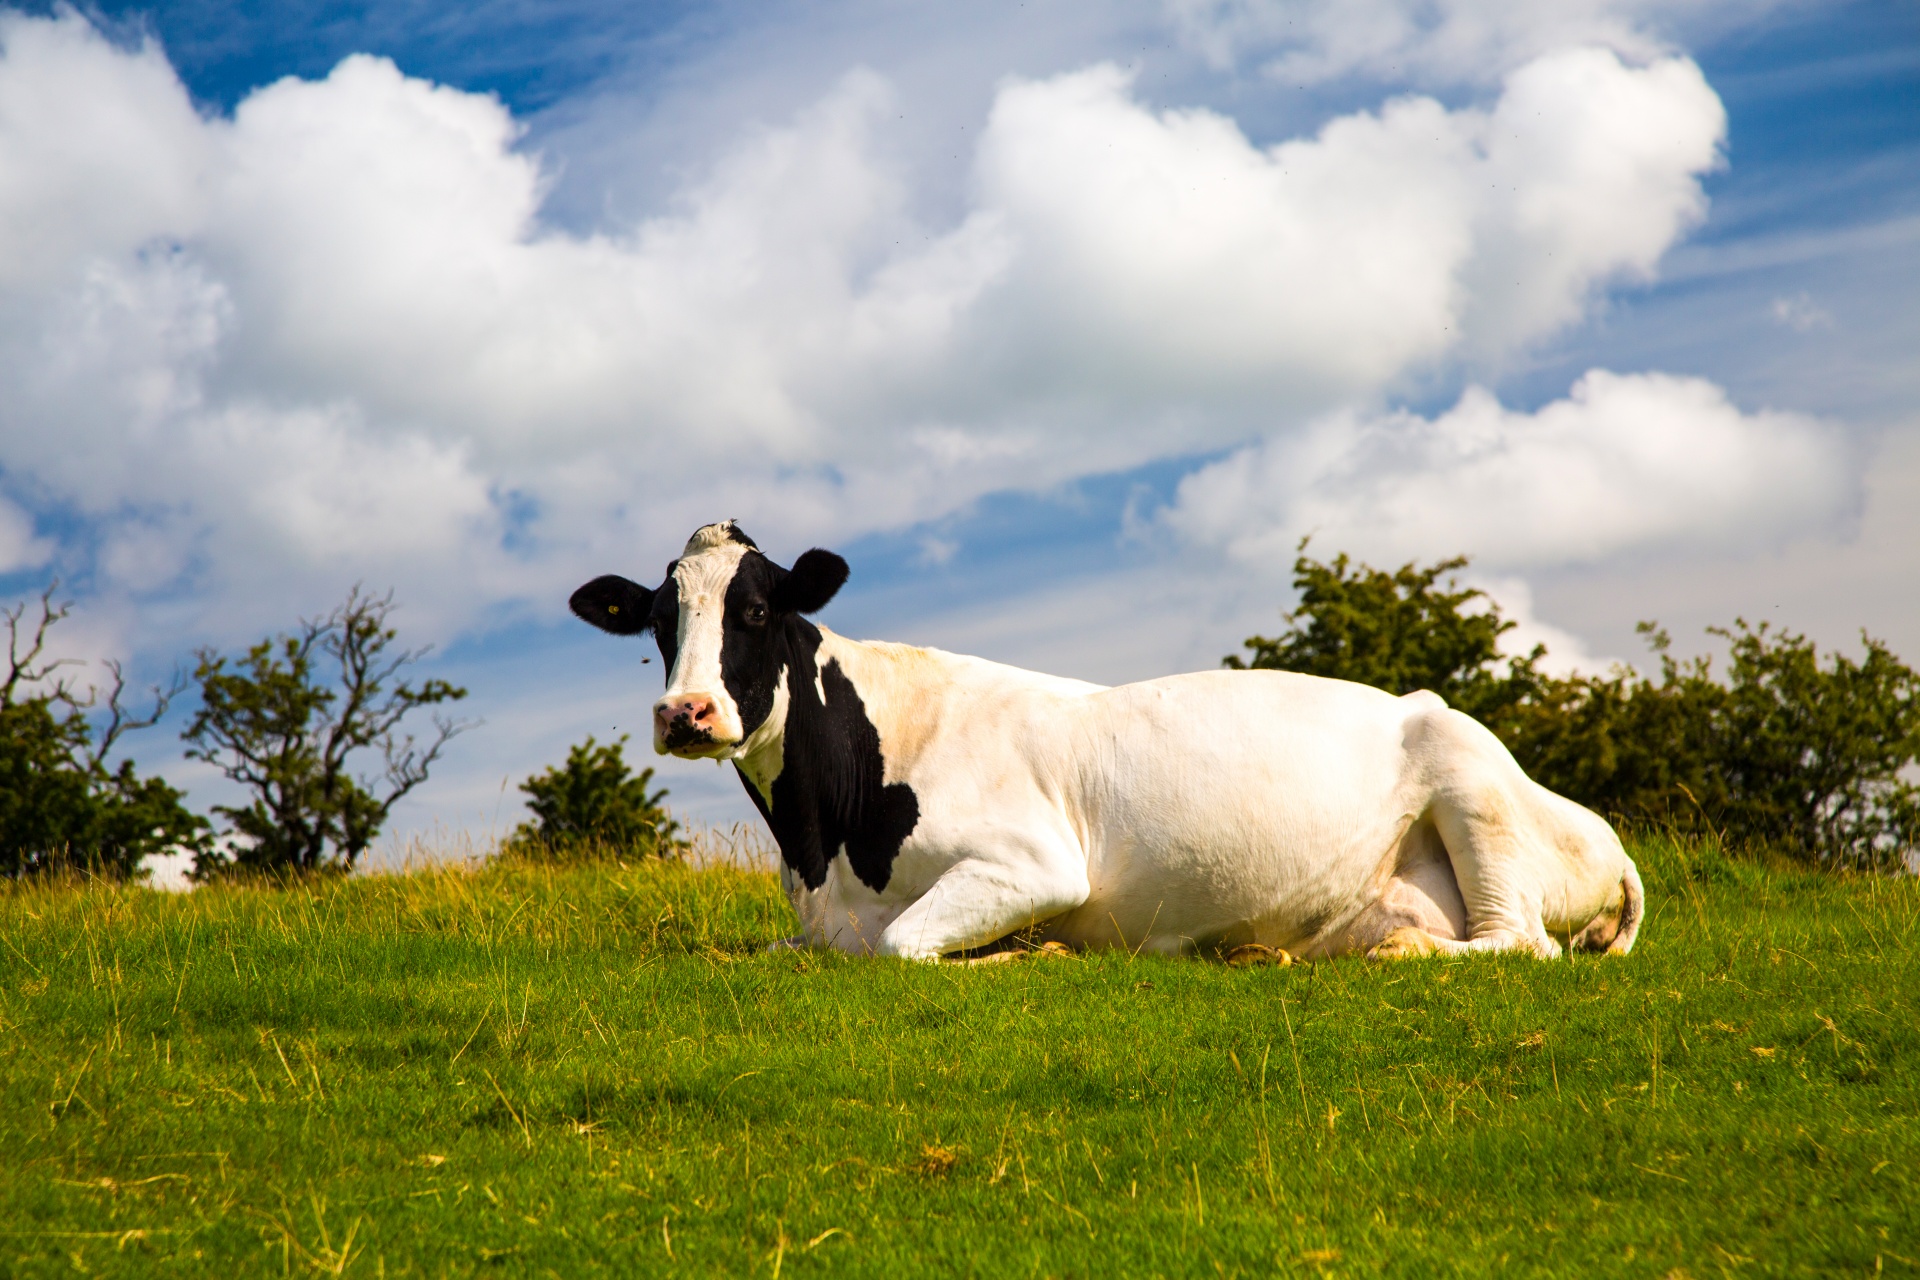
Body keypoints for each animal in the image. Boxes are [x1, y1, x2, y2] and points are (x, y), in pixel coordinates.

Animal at [572, 521, 1651, 959]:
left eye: (755, 610)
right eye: (659, 620)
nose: (686, 714)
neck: (822, 846)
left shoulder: (1034, 862)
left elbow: (905, 945)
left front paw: (1031, 953)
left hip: (1471, 784)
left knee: (1517, 942)